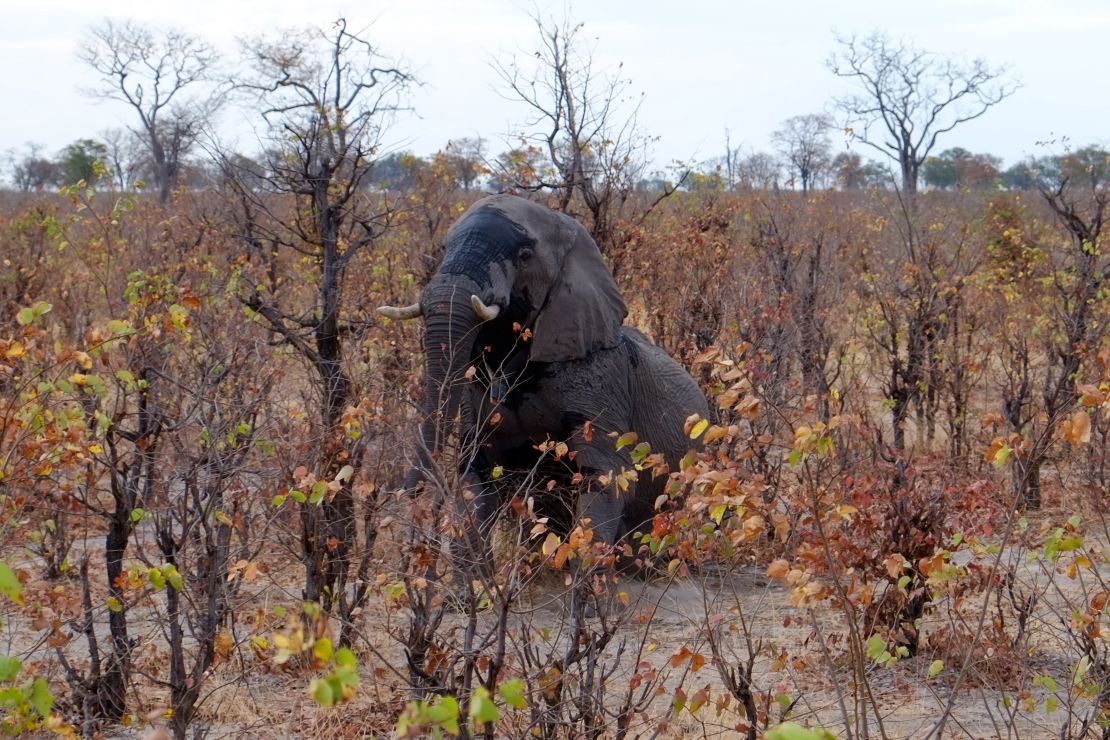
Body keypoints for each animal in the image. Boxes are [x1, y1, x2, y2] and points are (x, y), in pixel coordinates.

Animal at [381, 194, 705, 563]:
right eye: (444, 247)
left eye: (524, 256)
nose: (408, 494)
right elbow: (476, 479)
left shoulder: (600, 379)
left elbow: (605, 476)